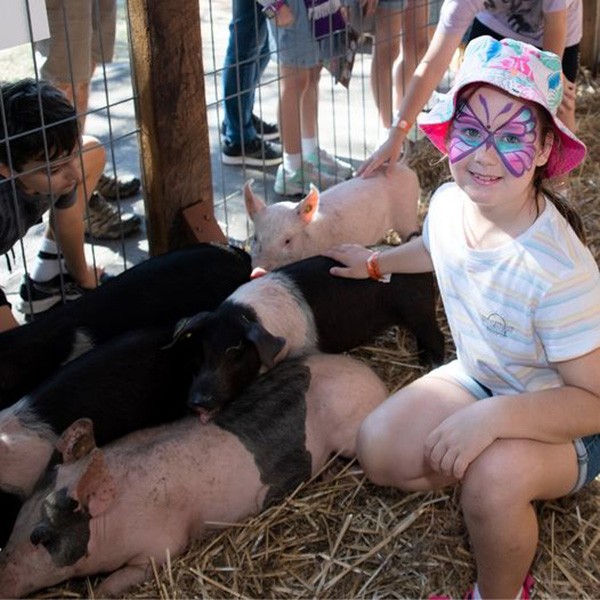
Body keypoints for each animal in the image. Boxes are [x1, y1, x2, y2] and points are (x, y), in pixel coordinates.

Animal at [0, 354, 384, 596]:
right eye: (16, 521)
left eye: (39, 537)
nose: (3, 582)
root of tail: (373, 377)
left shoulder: (162, 545)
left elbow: (127, 577)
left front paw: (99, 590)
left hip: (350, 428)